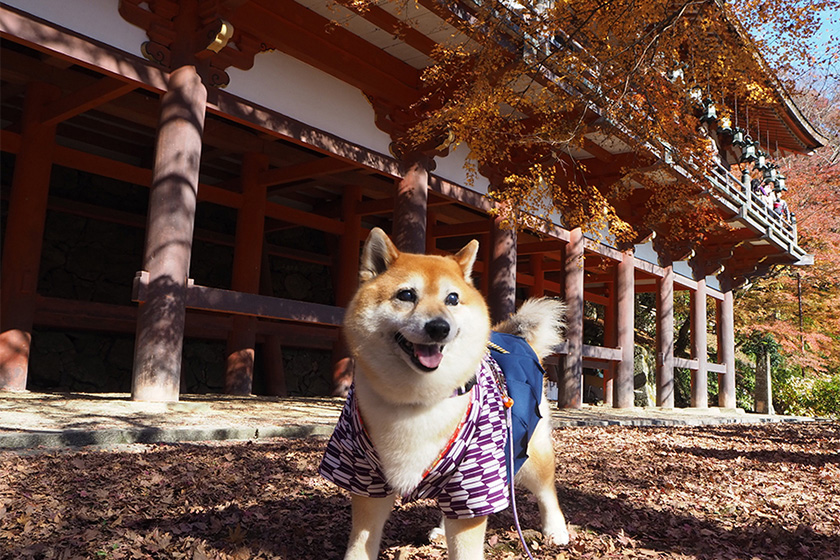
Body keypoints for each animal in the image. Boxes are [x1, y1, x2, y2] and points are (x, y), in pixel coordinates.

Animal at [322, 229, 572, 560]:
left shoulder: (476, 476)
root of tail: (512, 337)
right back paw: (442, 529)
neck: (415, 400)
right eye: (406, 295)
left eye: (452, 299)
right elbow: (361, 543)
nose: (439, 327)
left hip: (527, 453)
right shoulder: (364, 478)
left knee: (547, 492)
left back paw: (556, 530)